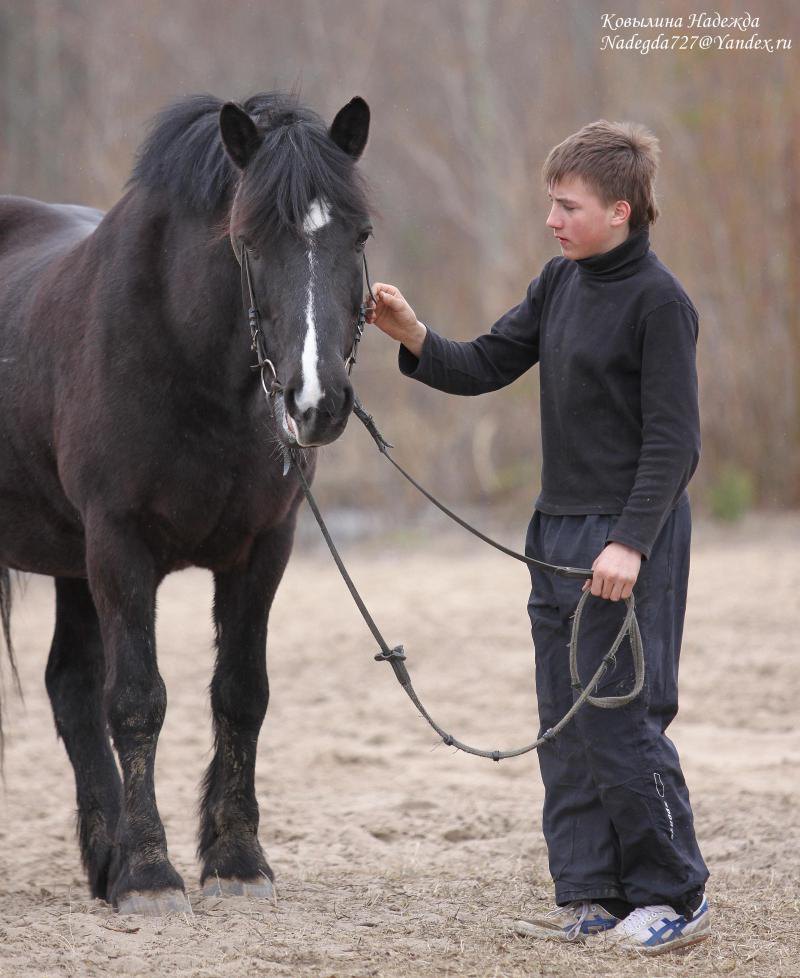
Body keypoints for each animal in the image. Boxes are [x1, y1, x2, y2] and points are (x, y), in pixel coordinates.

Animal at [0, 93, 372, 916]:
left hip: (71, 562)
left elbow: (240, 693)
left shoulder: (265, 546)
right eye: (247, 239)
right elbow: (138, 700)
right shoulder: (119, 545)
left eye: (360, 233)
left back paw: (103, 859)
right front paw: (149, 875)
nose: (316, 402)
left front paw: (235, 862)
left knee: (69, 686)